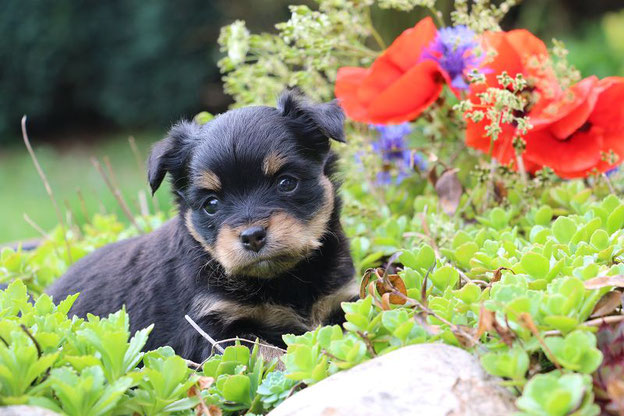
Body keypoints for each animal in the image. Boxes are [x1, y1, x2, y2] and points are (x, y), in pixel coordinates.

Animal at [46, 89, 356, 362]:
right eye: (211, 204)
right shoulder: (215, 330)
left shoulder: (342, 299)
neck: (282, 279)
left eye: (287, 183)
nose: (252, 236)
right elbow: (268, 353)